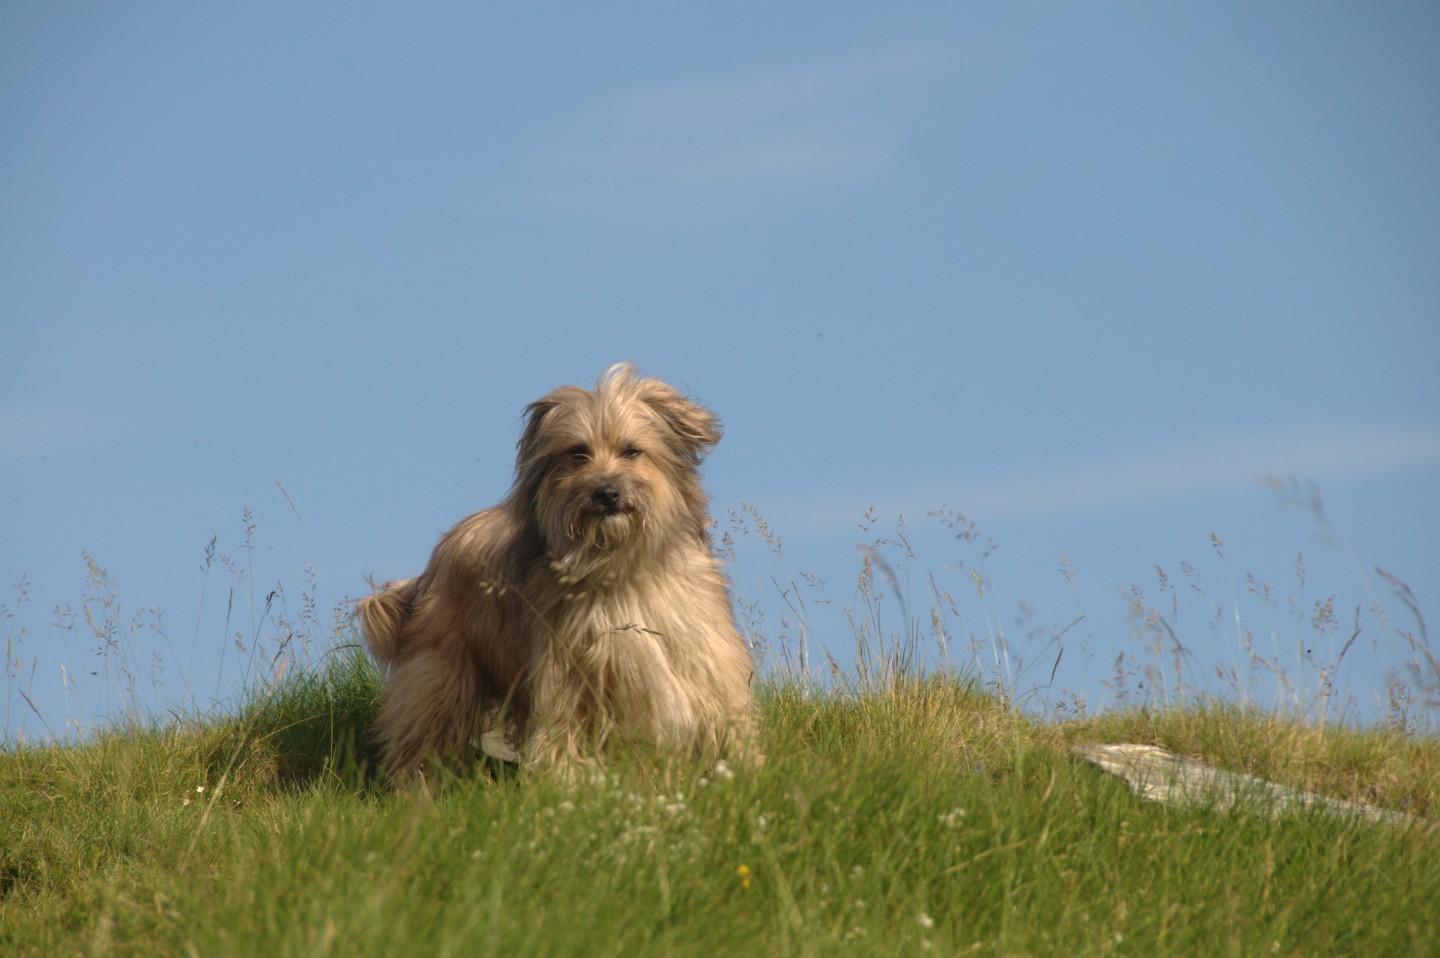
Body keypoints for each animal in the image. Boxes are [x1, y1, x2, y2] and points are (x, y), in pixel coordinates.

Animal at [355, 363, 760, 783]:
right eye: (578, 453)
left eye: (632, 451)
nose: (606, 493)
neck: (619, 566)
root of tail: (430, 567)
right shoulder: (567, 671)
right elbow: (564, 730)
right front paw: (567, 783)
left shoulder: (700, 652)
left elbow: (722, 710)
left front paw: (744, 768)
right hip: (443, 671)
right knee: (424, 734)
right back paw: (418, 788)